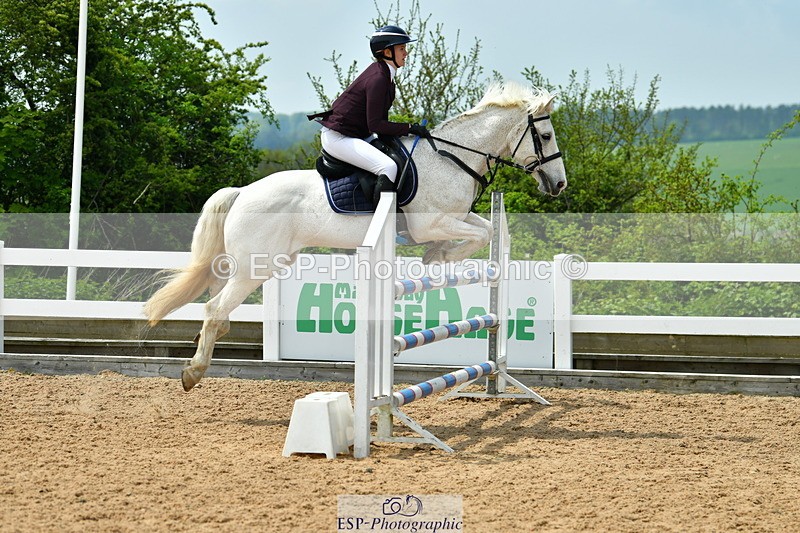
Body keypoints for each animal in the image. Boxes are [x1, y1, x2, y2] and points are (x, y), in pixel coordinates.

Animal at [144, 82, 567, 391]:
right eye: (545, 136)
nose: (559, 184)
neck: (450, 158)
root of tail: (242, 192)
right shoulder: (431, 222)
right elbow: (480, 233)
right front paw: (438, 257)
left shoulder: (456, 217)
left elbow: (486, 228)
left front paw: (437, 256)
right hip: (254, 267)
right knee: (214, 309)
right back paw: (192, 373)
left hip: (258, 263)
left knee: (218, 305)